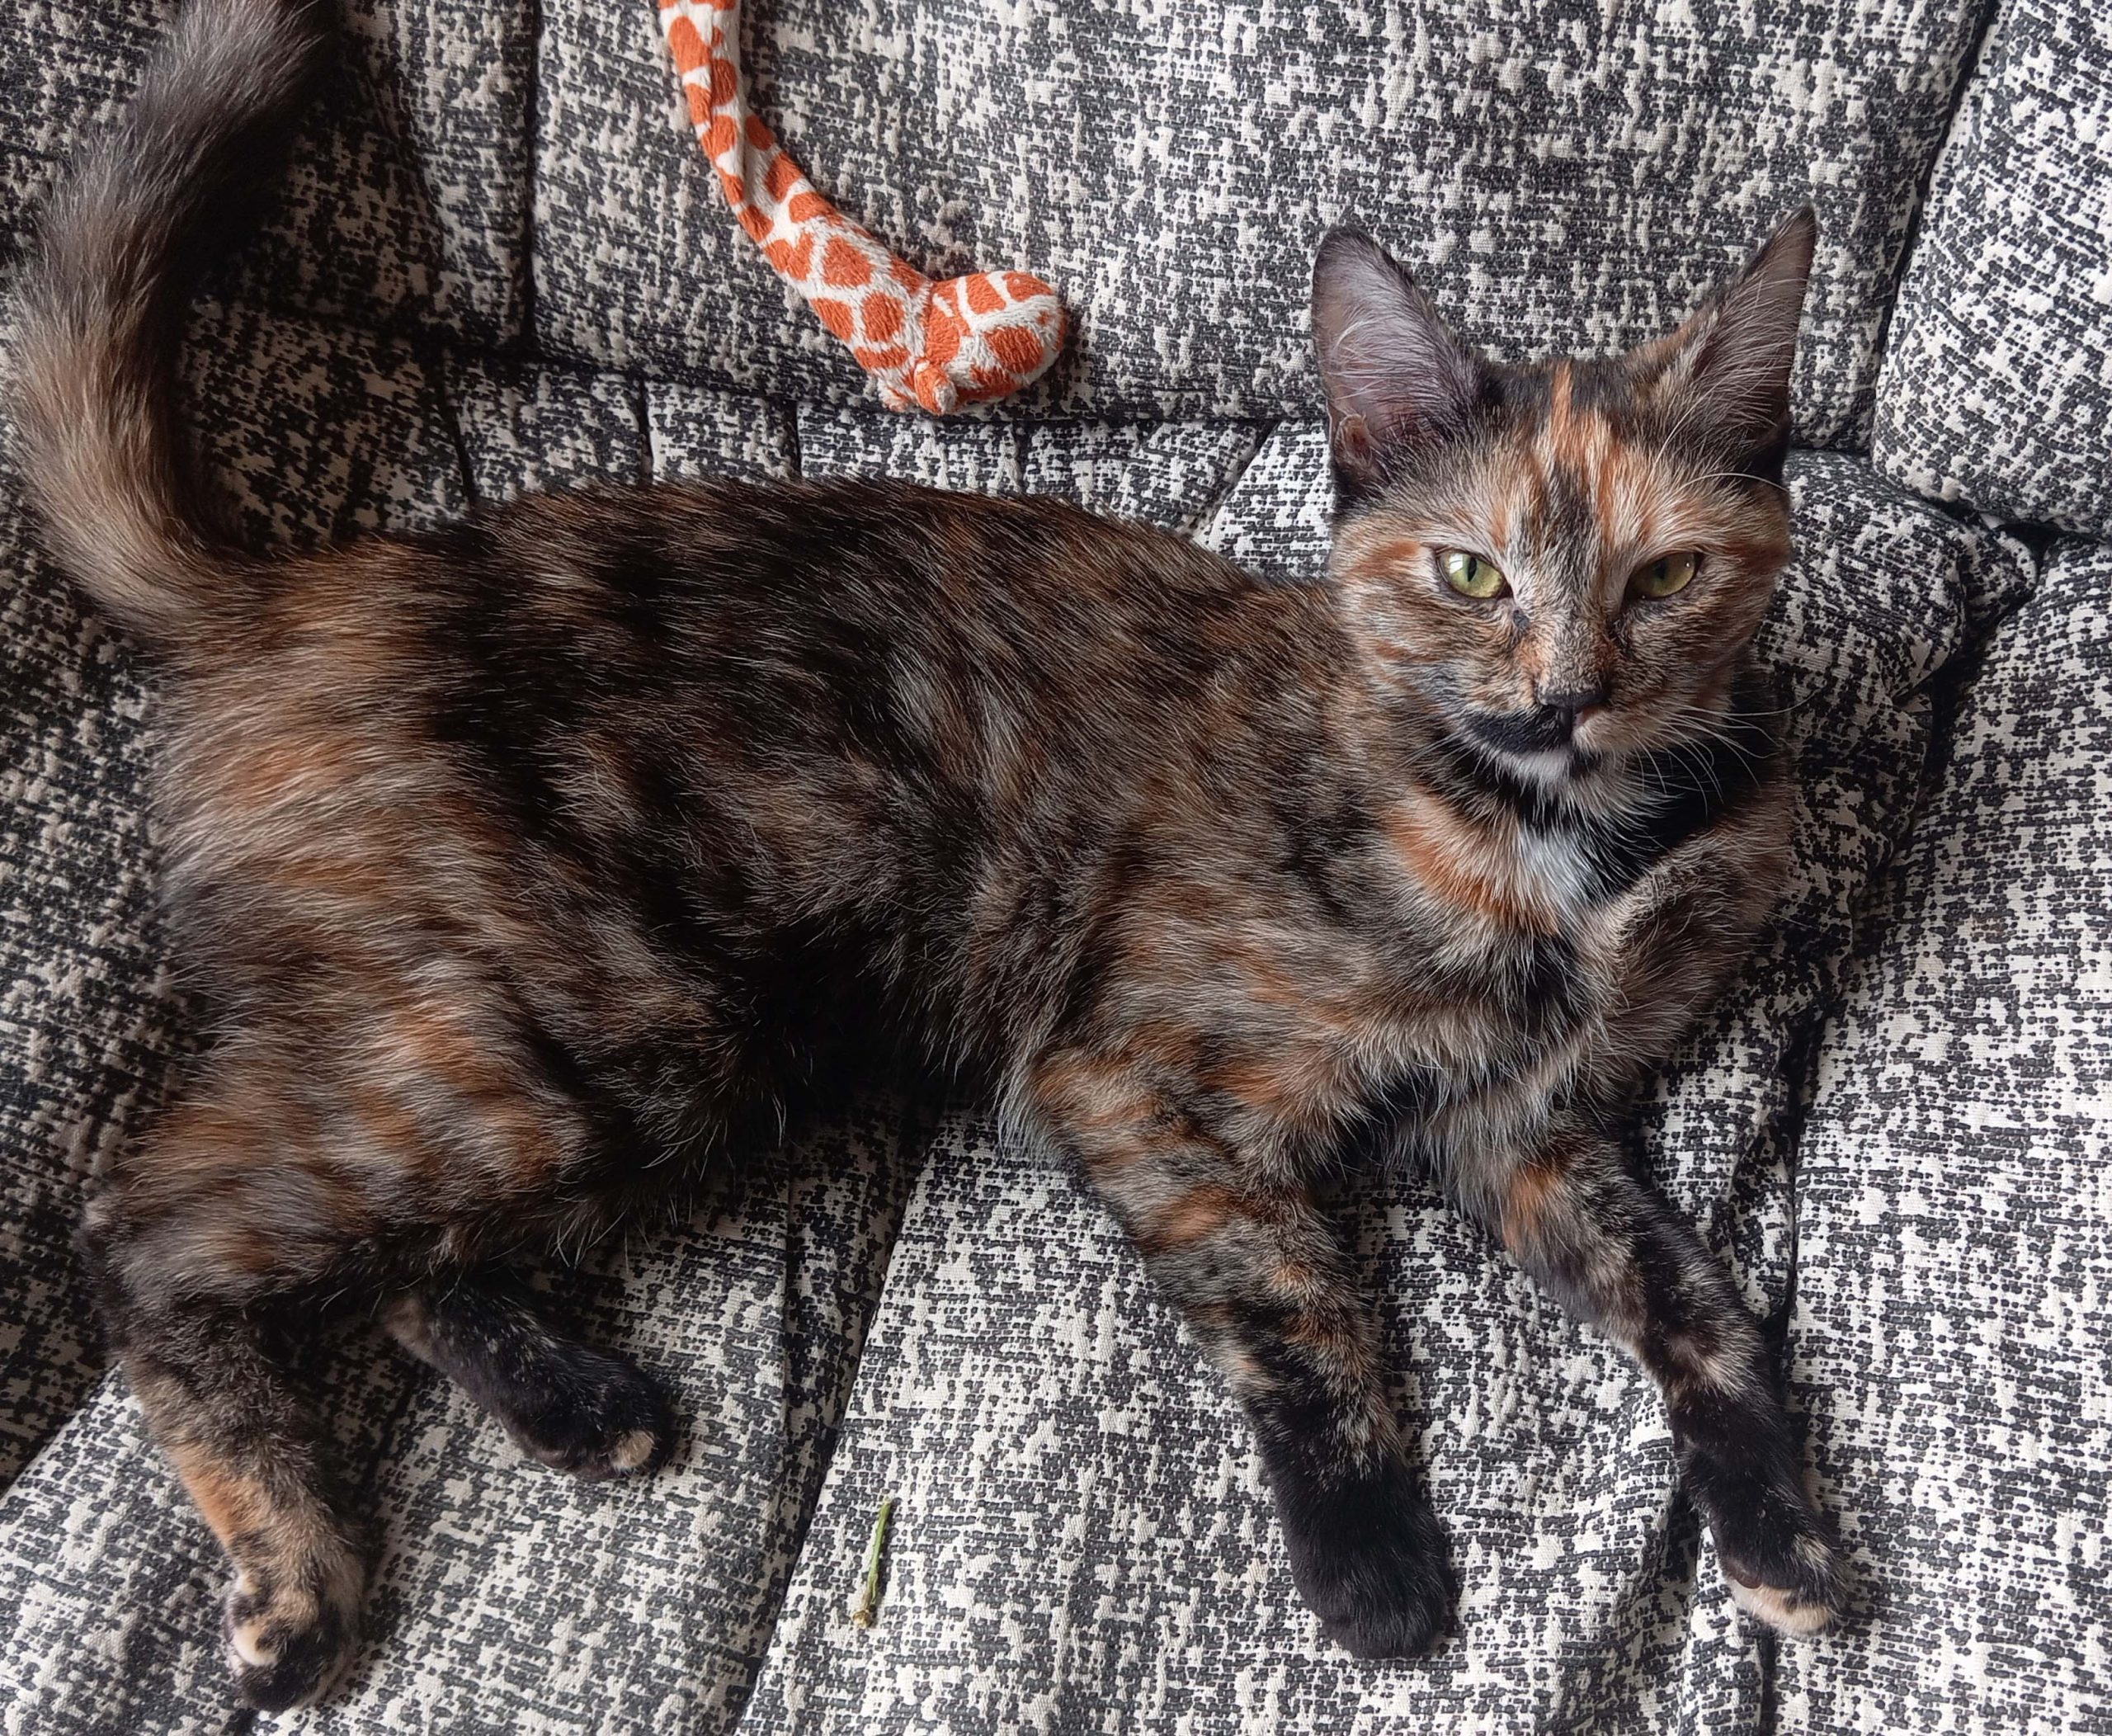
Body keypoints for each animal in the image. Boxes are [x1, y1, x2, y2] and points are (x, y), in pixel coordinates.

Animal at [9, 0, 1845, 1710]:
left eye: (1664, 579)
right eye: (1471, 575)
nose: (1567, 699)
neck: (1560, 851)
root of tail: (304, 589)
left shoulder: (1525, 1126)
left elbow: (1696, 1293)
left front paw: (1780, 1522)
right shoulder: (1129, 1075)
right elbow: (1300, 1283)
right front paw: (1375, 1558)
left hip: (602, 1047)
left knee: (393, 1254)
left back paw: (572, 1399)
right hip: (600, 1020)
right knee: (148, 1220)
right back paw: (297, 1565)